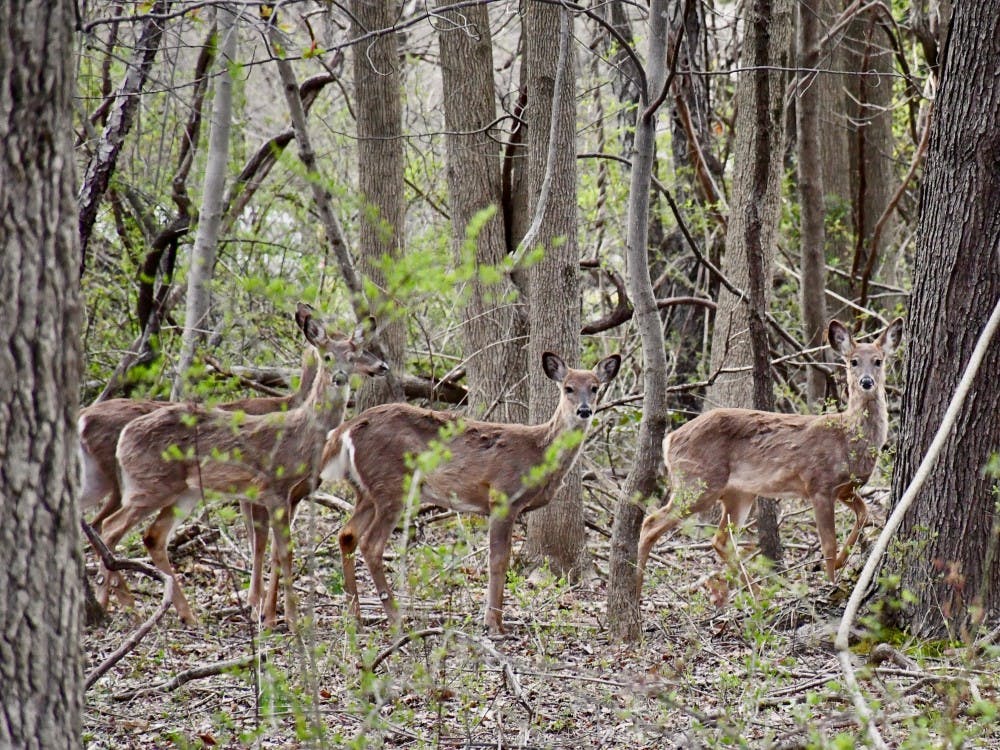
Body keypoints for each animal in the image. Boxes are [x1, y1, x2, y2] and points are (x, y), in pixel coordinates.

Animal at [95, 303, 389, 628]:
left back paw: (185, 615)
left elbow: (275, 551)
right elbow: (283, 552)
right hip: (150, 484)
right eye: (327, 356)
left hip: (184, 491)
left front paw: (273, 614)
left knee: (153, 536)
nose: (339, 378)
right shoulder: (274, 488)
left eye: (351, 357)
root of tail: (124, 436)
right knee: (110, 527)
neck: (301, 433)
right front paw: (289, 619)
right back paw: (123, 607)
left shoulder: (284, 495)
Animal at [320, 351, 621, 634]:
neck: (538, 453)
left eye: (594, 387)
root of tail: (344, 431)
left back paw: (356, 618)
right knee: (371, 544)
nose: (584, 410)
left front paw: (494, 621)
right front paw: (494, 624)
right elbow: (498, 560)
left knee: (347, 535)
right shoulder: (502, 496)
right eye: (568, 388)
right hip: (392, 484)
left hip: (366, 490)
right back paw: (396, 619)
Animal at [636, 317, 903, 602]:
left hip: (738, 493)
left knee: (721, 540)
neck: (848, 436)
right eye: (853, 361)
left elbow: (864, 514)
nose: (866, 382)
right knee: (651, 524)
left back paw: (759, 594)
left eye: (878, 360)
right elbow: (828, 544)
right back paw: (635, 590)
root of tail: (670, 440)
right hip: (698, 482)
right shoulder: (818, 484)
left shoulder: (846, 489)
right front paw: (832, 585)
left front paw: (843, 562)